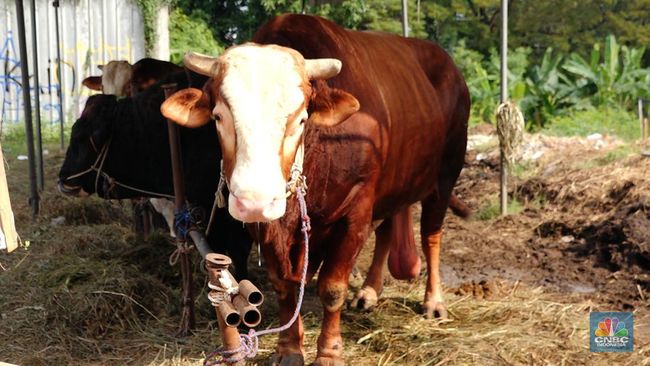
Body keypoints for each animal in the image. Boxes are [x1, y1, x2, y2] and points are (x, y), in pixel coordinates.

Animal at [161, 14, 466, 366]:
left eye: (301, 119)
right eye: (218, 116)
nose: (255, 201)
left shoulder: (357, 211)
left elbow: (332, 287)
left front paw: (329, 352)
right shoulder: (266, 228)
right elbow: (284, 285)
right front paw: (290, 347)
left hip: (446, 174)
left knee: (431, 235)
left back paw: (433, 301)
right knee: (388, 228)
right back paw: (370, 291)